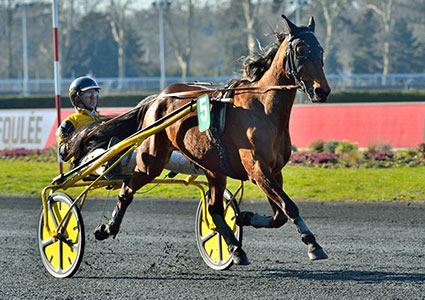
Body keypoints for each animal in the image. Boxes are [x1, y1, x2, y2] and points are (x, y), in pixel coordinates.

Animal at [63, 15, 332, 264]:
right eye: (300, 49)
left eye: (320, 49)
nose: (322, 90)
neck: (262, 108)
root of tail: (158, 97)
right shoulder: (257, 169)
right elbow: (289, 206)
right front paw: (313, 244)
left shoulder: (274, 171)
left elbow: (279, 215)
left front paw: (244, 217)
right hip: (152, 161)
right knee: (127, 189)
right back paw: (106, 228)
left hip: (213, 167)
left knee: (214, 209)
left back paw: (235, 248)